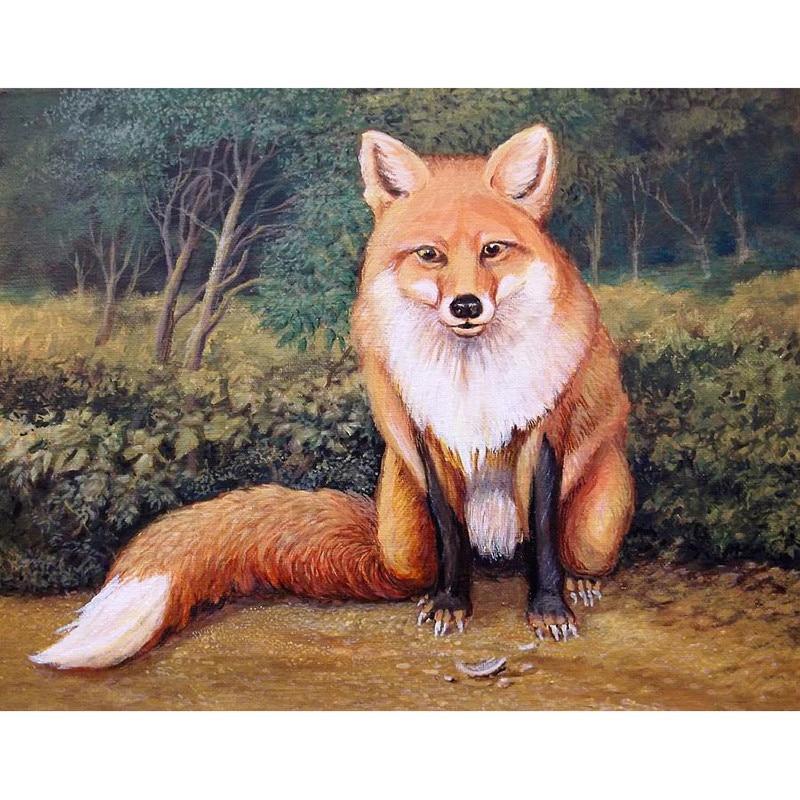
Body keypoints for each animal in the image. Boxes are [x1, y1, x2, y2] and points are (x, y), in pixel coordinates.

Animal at [31, 123, 634, 669]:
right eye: (430, 255)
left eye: (493, 250)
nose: (466, 306)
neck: (471, 377)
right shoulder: (424, 436)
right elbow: (451, 531)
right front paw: (450, 604)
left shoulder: (546, 433)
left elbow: (543, 536)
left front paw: (549, 609)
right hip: (403, 543)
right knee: (433, 561)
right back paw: (431, 591)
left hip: (598, 526)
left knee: (564, 549)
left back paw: (578, 585)